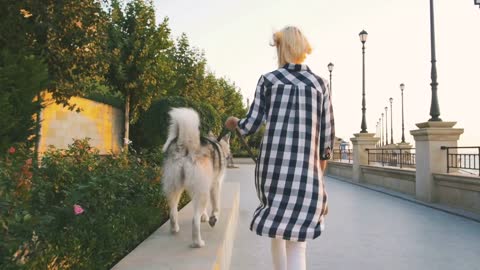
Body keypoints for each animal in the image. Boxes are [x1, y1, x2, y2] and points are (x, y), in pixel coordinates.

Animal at [161, 107, 231, 247]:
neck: (218, 144)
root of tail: (186, 144)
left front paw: (204, 216)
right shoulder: (214, 185)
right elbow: (216, 205)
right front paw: (213, 218)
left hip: (175, 188)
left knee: (172, 212)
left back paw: (174, 229)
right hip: (202, 192)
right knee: (194, 220)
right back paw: (198, 242)